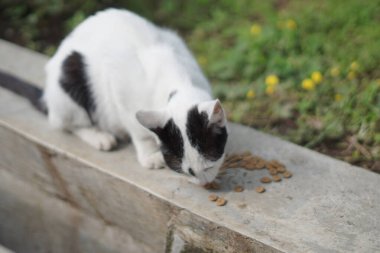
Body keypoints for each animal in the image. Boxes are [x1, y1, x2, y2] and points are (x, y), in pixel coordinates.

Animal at [0, 8, 229, 186]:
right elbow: (138, 130)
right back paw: (100, 137)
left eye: (209, 165)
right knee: (64, 123)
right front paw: (150, 155)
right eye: (187, 171)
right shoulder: (120, 92)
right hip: (70, 79)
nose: (204, 182)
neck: (177, 81)